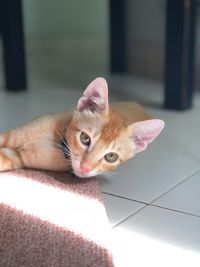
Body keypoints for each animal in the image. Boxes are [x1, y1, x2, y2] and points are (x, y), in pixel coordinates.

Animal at [0, 78, 165, 178]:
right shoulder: (14, 134)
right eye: (85, 138)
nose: (85, 168)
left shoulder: (19, 157)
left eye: (111, 157)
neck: (57, 140)